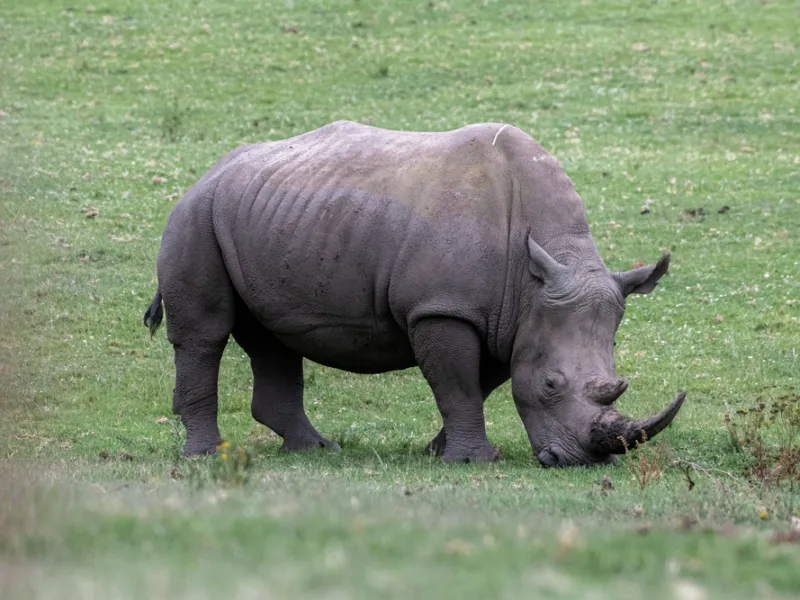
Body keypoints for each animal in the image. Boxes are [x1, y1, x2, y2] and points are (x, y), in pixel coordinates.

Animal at [143, 120, 686, 466]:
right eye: (552, 385)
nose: (579, 462)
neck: (536, 278)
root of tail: (208, 173)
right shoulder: (443, 308)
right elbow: (458, 384)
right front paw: (472, 461)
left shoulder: (503, 317)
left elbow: (482, 382)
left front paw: (438, 451)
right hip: (196, 216)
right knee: (205, 334)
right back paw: (208, 457)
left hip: (266, 214)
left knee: (272, 336)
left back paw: (315, 451)